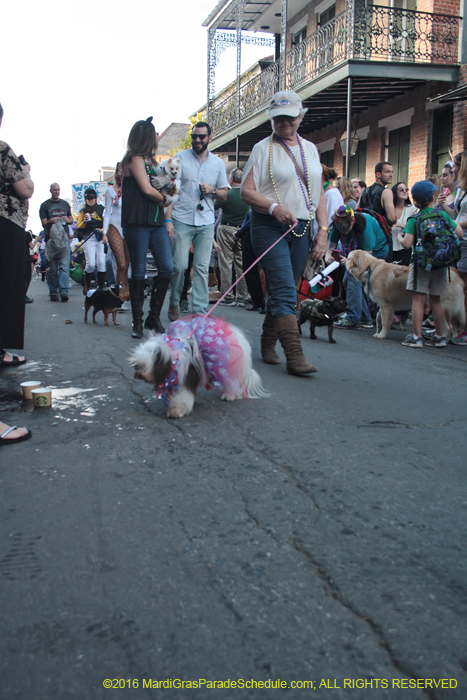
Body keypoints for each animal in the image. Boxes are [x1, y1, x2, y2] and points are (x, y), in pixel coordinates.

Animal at [128, 318, 268, 422]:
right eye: (137, 365)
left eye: (142, 365)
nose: (138, 373)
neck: (173, 358)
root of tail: (239, 337)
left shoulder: (186, 380)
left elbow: (182, 398)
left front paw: (176, 411)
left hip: (227, 369)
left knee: (233, 382)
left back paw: (230, 395)